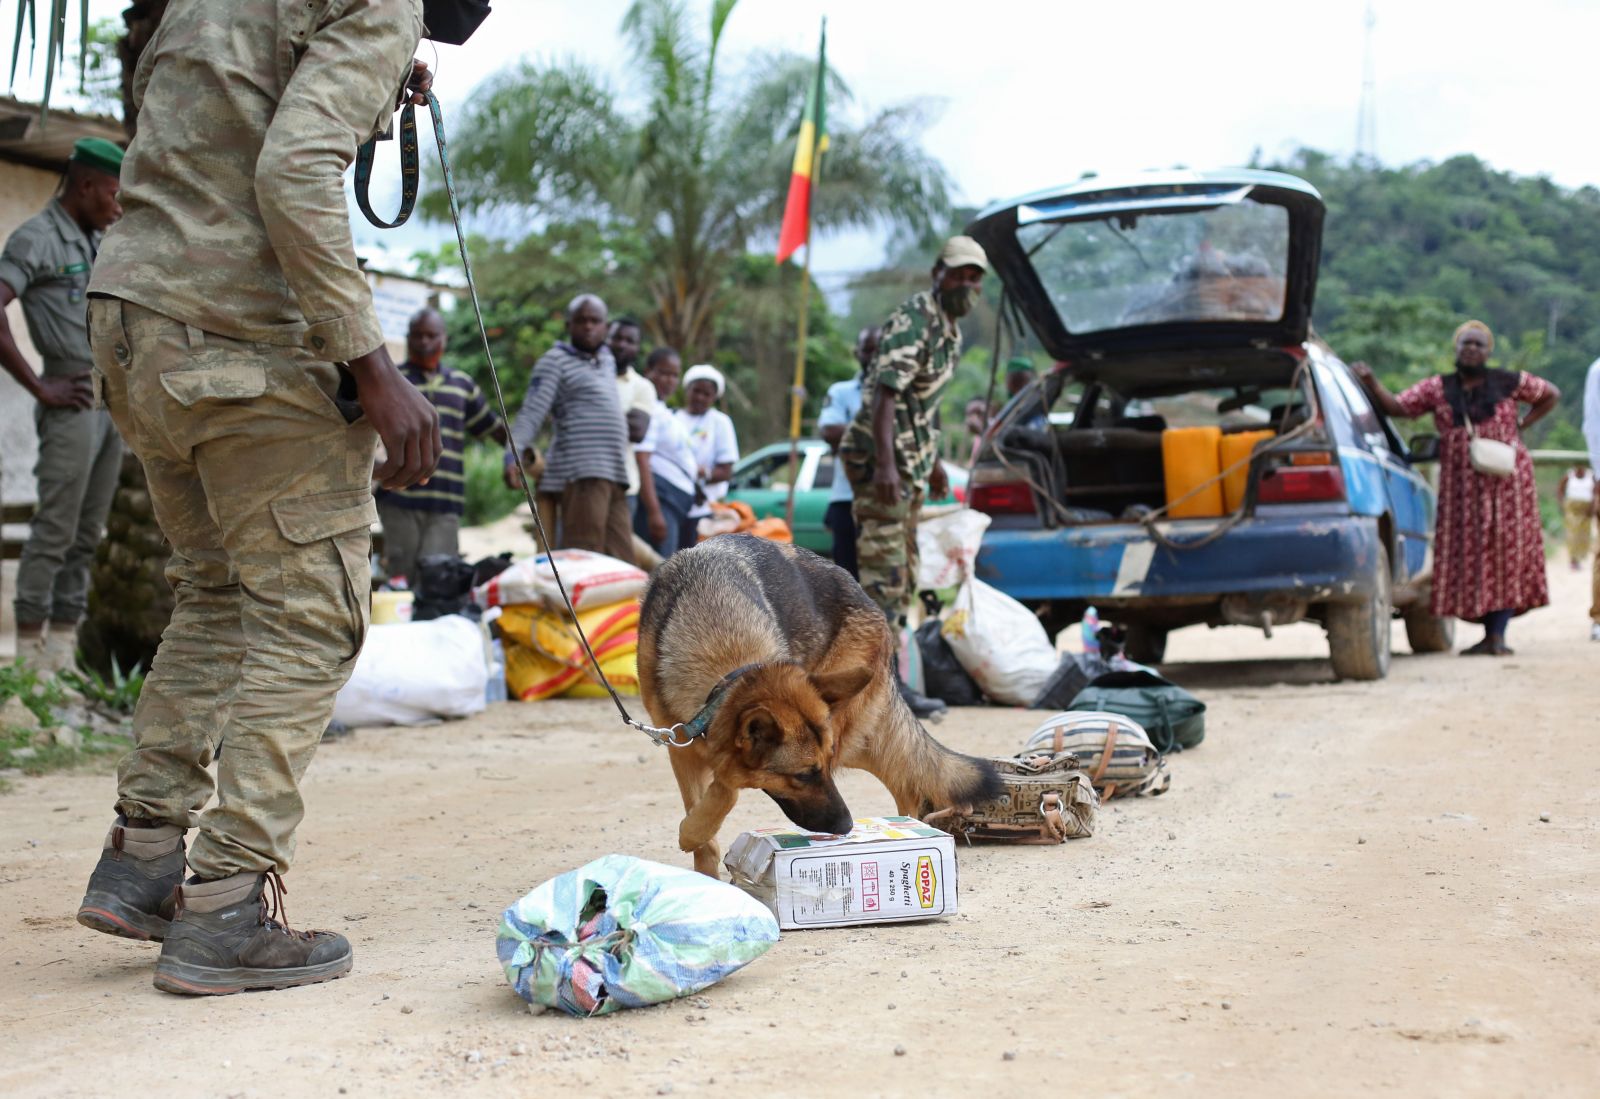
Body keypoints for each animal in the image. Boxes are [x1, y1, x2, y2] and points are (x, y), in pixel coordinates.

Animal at [636, 534, 998, 876]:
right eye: (803, 775)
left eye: (815, 771)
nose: (846, 826)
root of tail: (872, 605)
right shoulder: (681, 751)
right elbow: (714, 809)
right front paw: (703, 860)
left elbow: (728, 785)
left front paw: (691, 831)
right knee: (905, 778)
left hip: (844, 726)